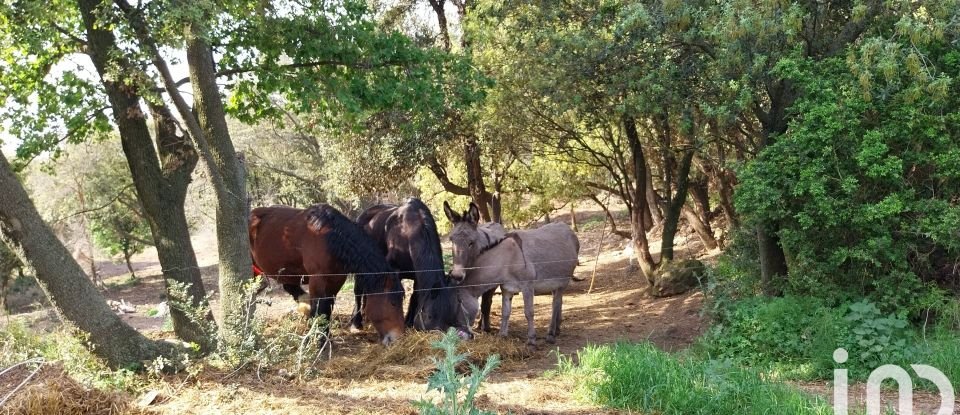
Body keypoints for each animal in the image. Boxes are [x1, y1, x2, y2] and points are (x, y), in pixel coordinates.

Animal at [249, 204, 404, 344]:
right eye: (393, 303)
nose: (397, 338)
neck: (330, 238)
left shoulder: (336, 281)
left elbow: (328, 307)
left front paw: (325, 337)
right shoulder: (317, 280)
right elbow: (319, 307)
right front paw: (315, 339)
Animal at [352, 199, 472, 338]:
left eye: (449, 314)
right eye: (429, 316)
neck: (408, 231)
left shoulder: (417, 275)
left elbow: (415, 297)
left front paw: (408, 322)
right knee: (358, 290)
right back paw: (356, 322)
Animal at [442, 203, 576, 346]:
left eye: (459, 302)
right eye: (451, 240)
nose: (455, 332)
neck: (507, 259)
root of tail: (566, 227)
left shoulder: (527, 286)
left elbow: (529, 312)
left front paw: (531, 340)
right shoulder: (507, 288)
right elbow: (505, 312)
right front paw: (502, 335)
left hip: (563, 281)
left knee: (555, 305)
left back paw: (550, 334)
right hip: (554, 285)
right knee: (558, 302)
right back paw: (556, 329)